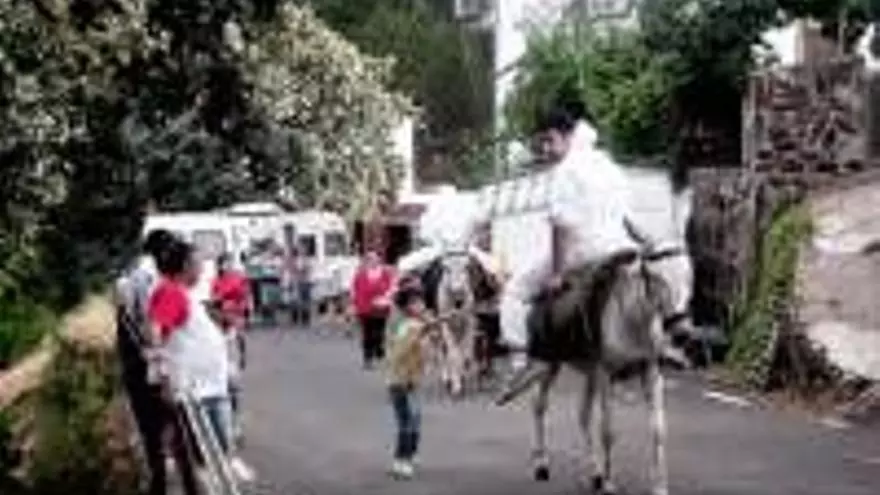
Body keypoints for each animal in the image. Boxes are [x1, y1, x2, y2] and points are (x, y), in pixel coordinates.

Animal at [497, 245, 694, 495]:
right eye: (654, 278)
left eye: (688, 275)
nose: (681, 333)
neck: (632, 321)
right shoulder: (606, 376)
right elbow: (608, 431)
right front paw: (609, 483)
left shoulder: (649, 372)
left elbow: (658, 430)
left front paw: (659, 486)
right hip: (548, 364)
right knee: (539, 406)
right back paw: (541, 464)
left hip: (587, 373)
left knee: (582, 414)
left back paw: (595, 473)